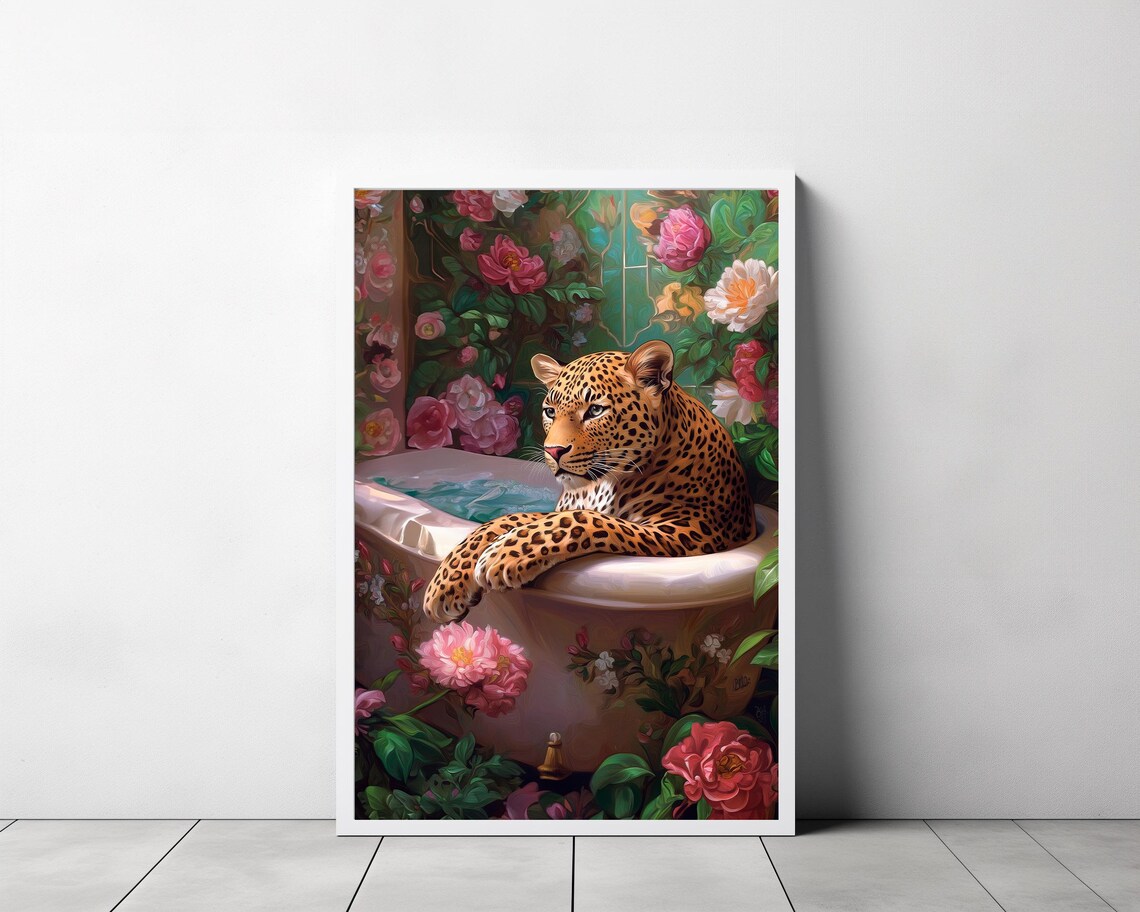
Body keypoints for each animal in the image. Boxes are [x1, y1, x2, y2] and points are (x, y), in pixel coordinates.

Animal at [422, 339, 757, 623]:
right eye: (550, 411)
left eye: (595, 410)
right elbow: (508, 520)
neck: (600, 486)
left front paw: (502, 556)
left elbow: (586, 520)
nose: (553, 451)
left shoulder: (689, 531)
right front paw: (445, 583)